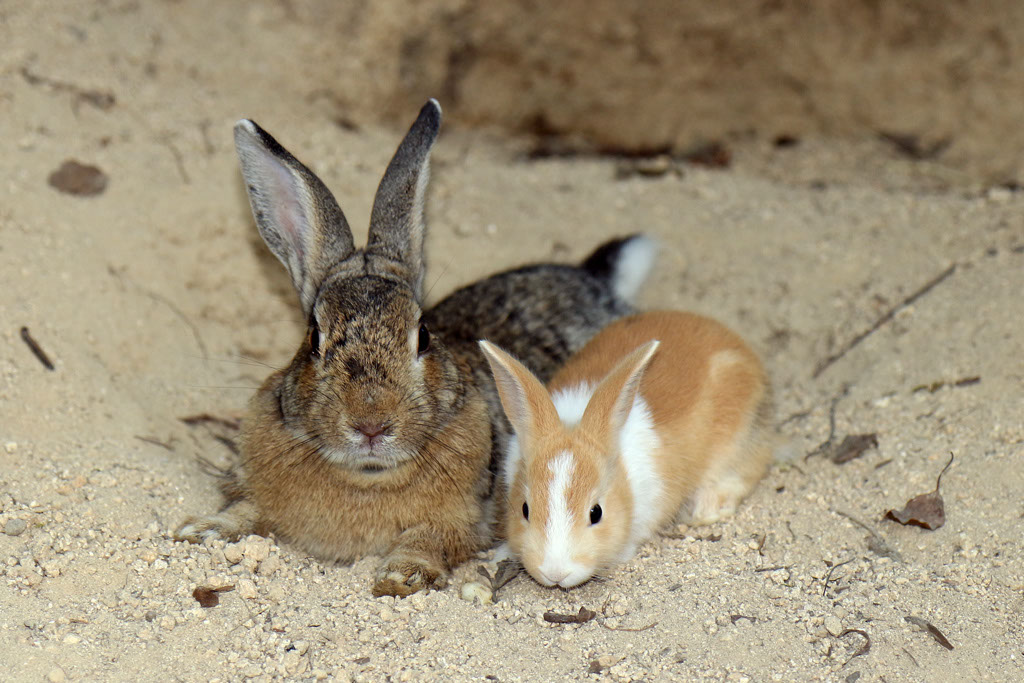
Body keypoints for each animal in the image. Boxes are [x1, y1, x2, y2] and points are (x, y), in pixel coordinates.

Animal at [175, 99, 657, 597]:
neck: (366, 476)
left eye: (422, 334)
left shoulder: (462, 517)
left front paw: (401, 575)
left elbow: (430, 538)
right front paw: (204, 528)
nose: (371, 425)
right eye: (314, 337)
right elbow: (247, 510)